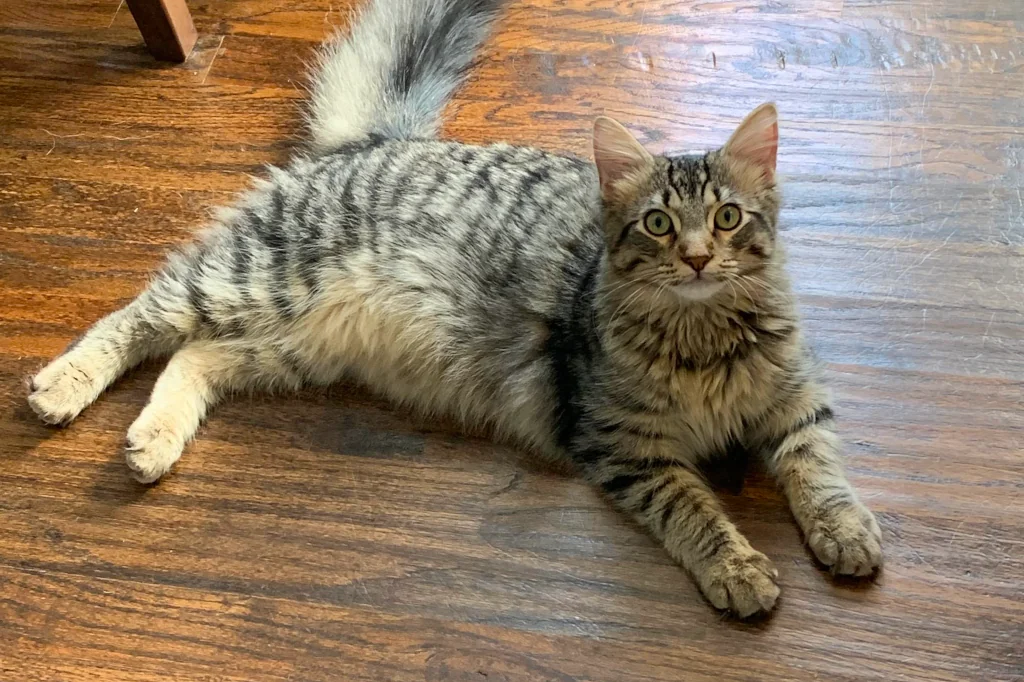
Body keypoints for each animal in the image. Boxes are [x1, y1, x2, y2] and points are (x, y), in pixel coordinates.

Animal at [25, 0, 880, 610]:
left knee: (192, 357)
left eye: (728, 218)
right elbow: (695, 510)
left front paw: (847, 534)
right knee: (137, 316)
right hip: (254, 280)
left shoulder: (798, 401)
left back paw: (153, 442)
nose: (700, 258)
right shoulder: (626, 447)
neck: (705, 339)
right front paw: (740, 570)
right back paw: (62, 388)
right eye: (660, 225)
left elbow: (819, 471)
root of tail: (374, 142)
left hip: (293, 345)